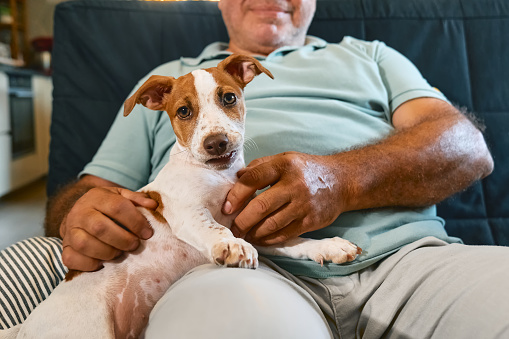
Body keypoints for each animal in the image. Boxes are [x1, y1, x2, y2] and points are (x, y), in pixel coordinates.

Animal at [0, 54, 360, 338]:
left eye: (229, 98)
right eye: (184, 111)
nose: (216, 143)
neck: (218, 176)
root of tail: (24, 328)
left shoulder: (250, 225)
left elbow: (294, 241)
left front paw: (328, 246)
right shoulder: (188, 212)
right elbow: (216, 228)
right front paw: (230, 247)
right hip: (89, 329)